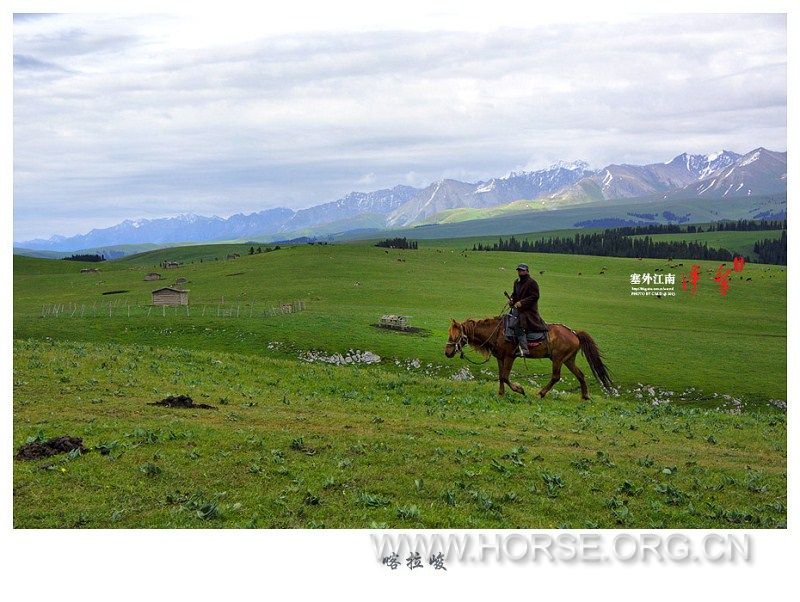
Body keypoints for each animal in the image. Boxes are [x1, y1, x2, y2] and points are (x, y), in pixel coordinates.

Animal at [444, 314, 612, 398]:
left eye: (455, 336)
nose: (447, 352)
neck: (497, 332)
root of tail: (575, 333)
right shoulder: (500, 357)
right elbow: (500, 376)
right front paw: (501, 394)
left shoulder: (510, 356)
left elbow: (505, 376)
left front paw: (519, 389)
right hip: (568, 360)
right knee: (580, 375)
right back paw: (585, 396)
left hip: (558, 359)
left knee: (556, 376)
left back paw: (541, 393)